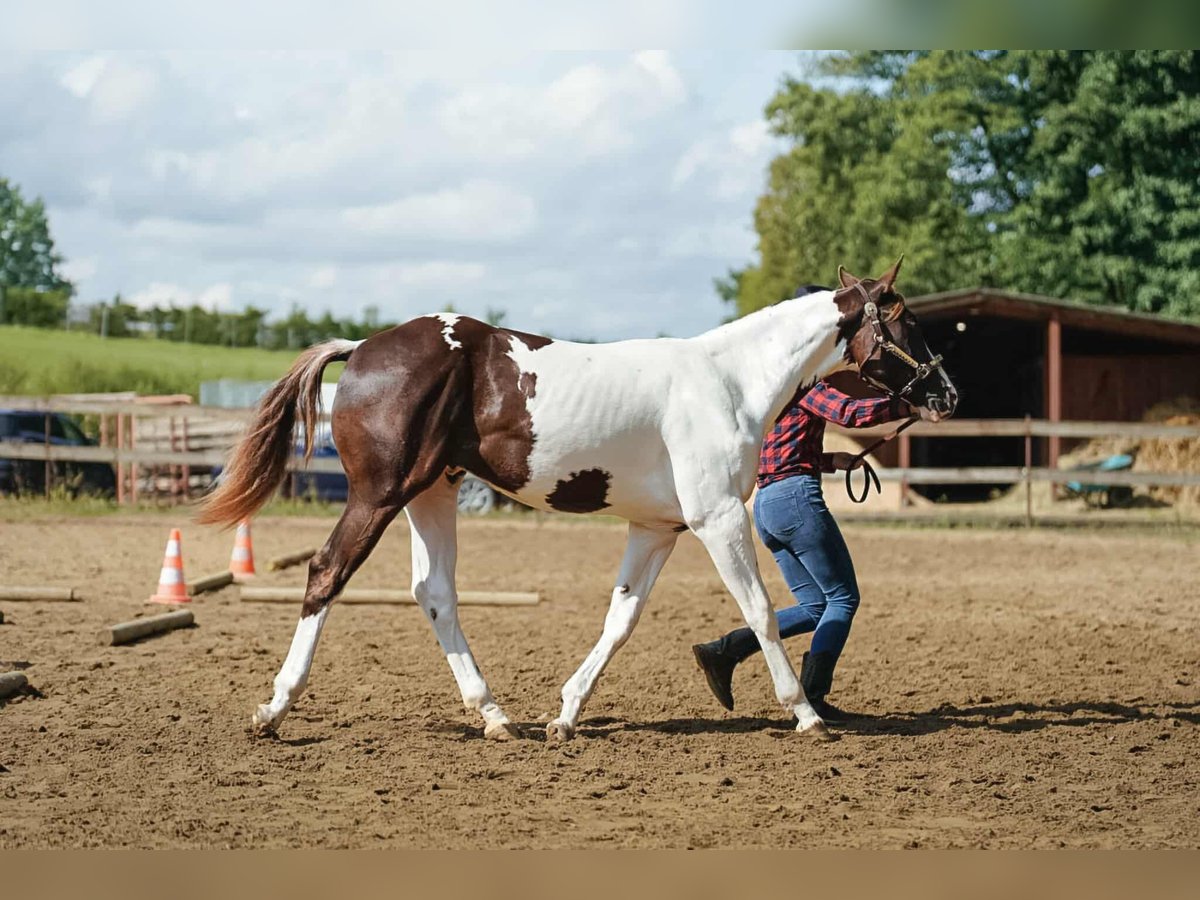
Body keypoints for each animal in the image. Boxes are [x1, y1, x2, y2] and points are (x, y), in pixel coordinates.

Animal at [199, 258, 957, 743]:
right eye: (908, 321)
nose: (946, 393)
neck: (728, 382)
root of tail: (360, 348)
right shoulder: (716, 520)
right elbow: (762, 612)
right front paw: (806, 715)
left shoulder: (658, 529)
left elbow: (620, 620)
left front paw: (564, 716)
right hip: (379, 494)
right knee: (327, 573)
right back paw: (274, 711)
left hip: (432, 494)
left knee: (434, 593)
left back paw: (497, 717)